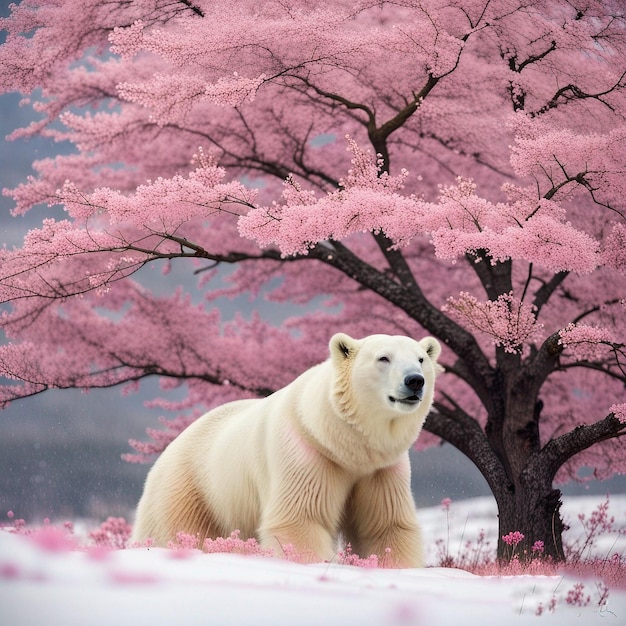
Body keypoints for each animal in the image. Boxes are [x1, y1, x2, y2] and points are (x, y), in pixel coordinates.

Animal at [130, 332, 442, 564]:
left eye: (421, 358)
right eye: (383, 358)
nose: (415, 380)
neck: (344, 443)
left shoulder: (381, 469)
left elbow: (386, 526)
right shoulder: (306, 453)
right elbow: (300, 520)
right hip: (191, 488)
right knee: (176, 529)